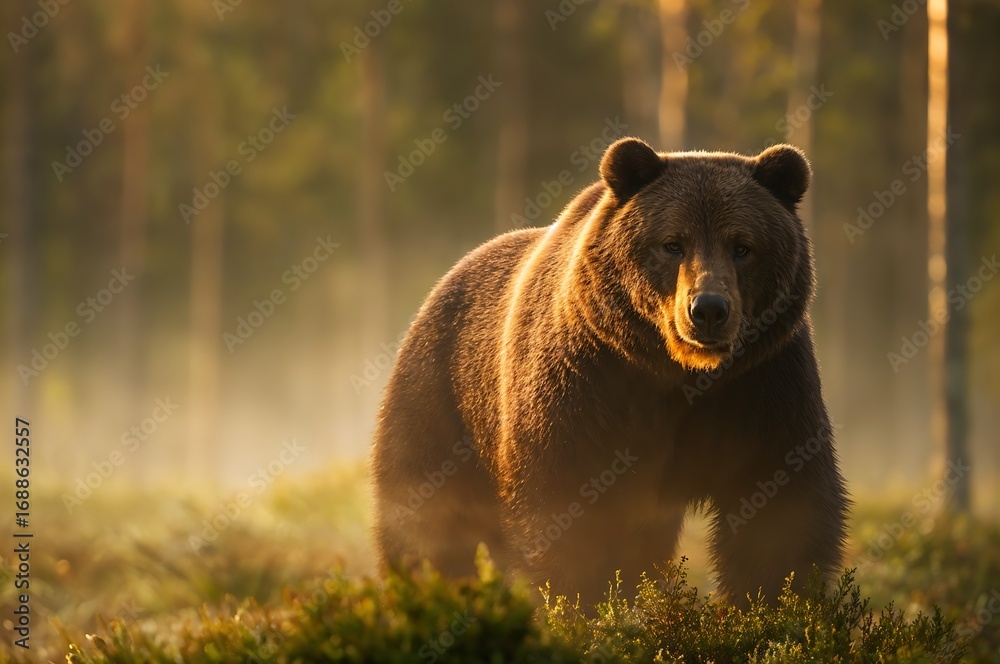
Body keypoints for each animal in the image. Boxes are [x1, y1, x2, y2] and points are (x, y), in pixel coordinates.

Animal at [370, 136, 848, 607]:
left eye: (743, 245)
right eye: (672, 242)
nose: (709, 309)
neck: (678, 371)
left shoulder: (764, 382)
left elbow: (778, 510)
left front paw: (773, 603)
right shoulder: (586, 381)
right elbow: (567, 507)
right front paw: (581, 602)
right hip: (440, 395)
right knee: (426, 519)